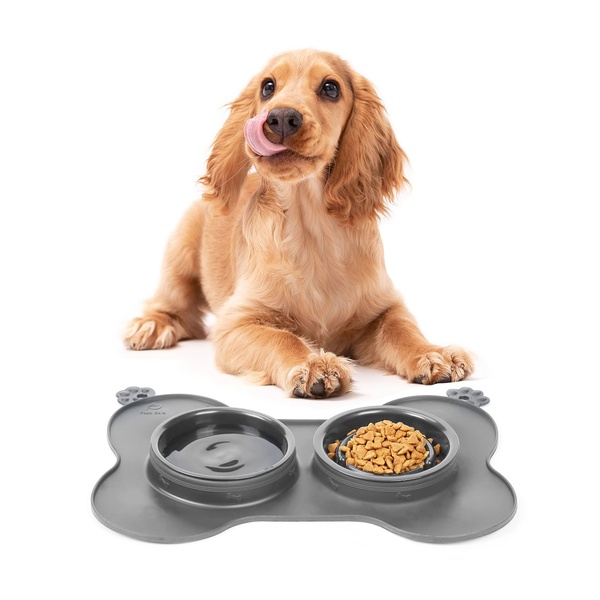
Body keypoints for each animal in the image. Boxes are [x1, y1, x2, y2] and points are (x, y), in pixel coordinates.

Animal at [124, 49, 474, 398]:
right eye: (267, 87)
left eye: (331, 88)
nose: (280, 118)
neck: (311, 226)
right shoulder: (237, 322)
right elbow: (281, 337)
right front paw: (313, 364)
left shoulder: (383, 305)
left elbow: (402, 329)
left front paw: (432, 354)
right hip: (180, 248)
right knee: (172, 303)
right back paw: (151, 325)